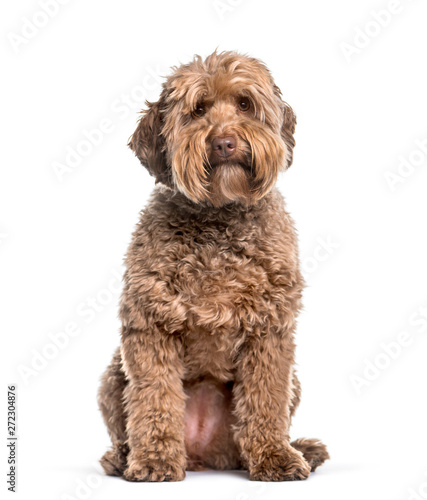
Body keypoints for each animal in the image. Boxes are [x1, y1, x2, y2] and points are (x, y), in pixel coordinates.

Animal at [98, 49, 330, 480]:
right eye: (198, 110)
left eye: (245, 104)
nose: (224, 143)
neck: (218, 215)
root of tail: (206, 454)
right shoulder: (149, 324)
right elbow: (154, 397)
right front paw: (154, 459)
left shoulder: (270, 331)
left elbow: (266, 399)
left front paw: (275, 456)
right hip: (112, 376)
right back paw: (123, 456)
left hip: (294, 380)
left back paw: (298, 448)